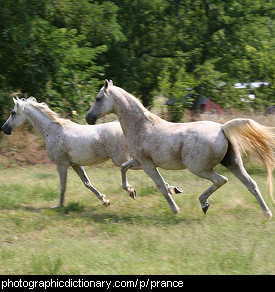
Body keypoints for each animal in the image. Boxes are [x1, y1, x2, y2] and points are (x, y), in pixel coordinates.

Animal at [2, 96, 181, 208]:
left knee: (139, 167)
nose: (4, 129)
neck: (52, 131)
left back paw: (162, 189)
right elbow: (87, 184)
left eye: (12, 113)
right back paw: (172, 189)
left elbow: (62, 187)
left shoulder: (61, 164)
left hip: (121, 159)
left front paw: (58, 206)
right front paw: (105, 201)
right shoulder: (75, 164)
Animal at [86, 80, 275, 217]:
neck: (141, 126)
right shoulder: (138, 161)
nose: (88, 118)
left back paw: (203, 203)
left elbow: (161, 186)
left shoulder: (148, 165)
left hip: (199, 168)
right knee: (250, 184)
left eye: (98, 98)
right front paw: (131, 192)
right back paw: (266, 213)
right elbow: (124, 169)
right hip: (233, 163)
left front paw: (175, 209)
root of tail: (222, 128)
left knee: (221, 180)